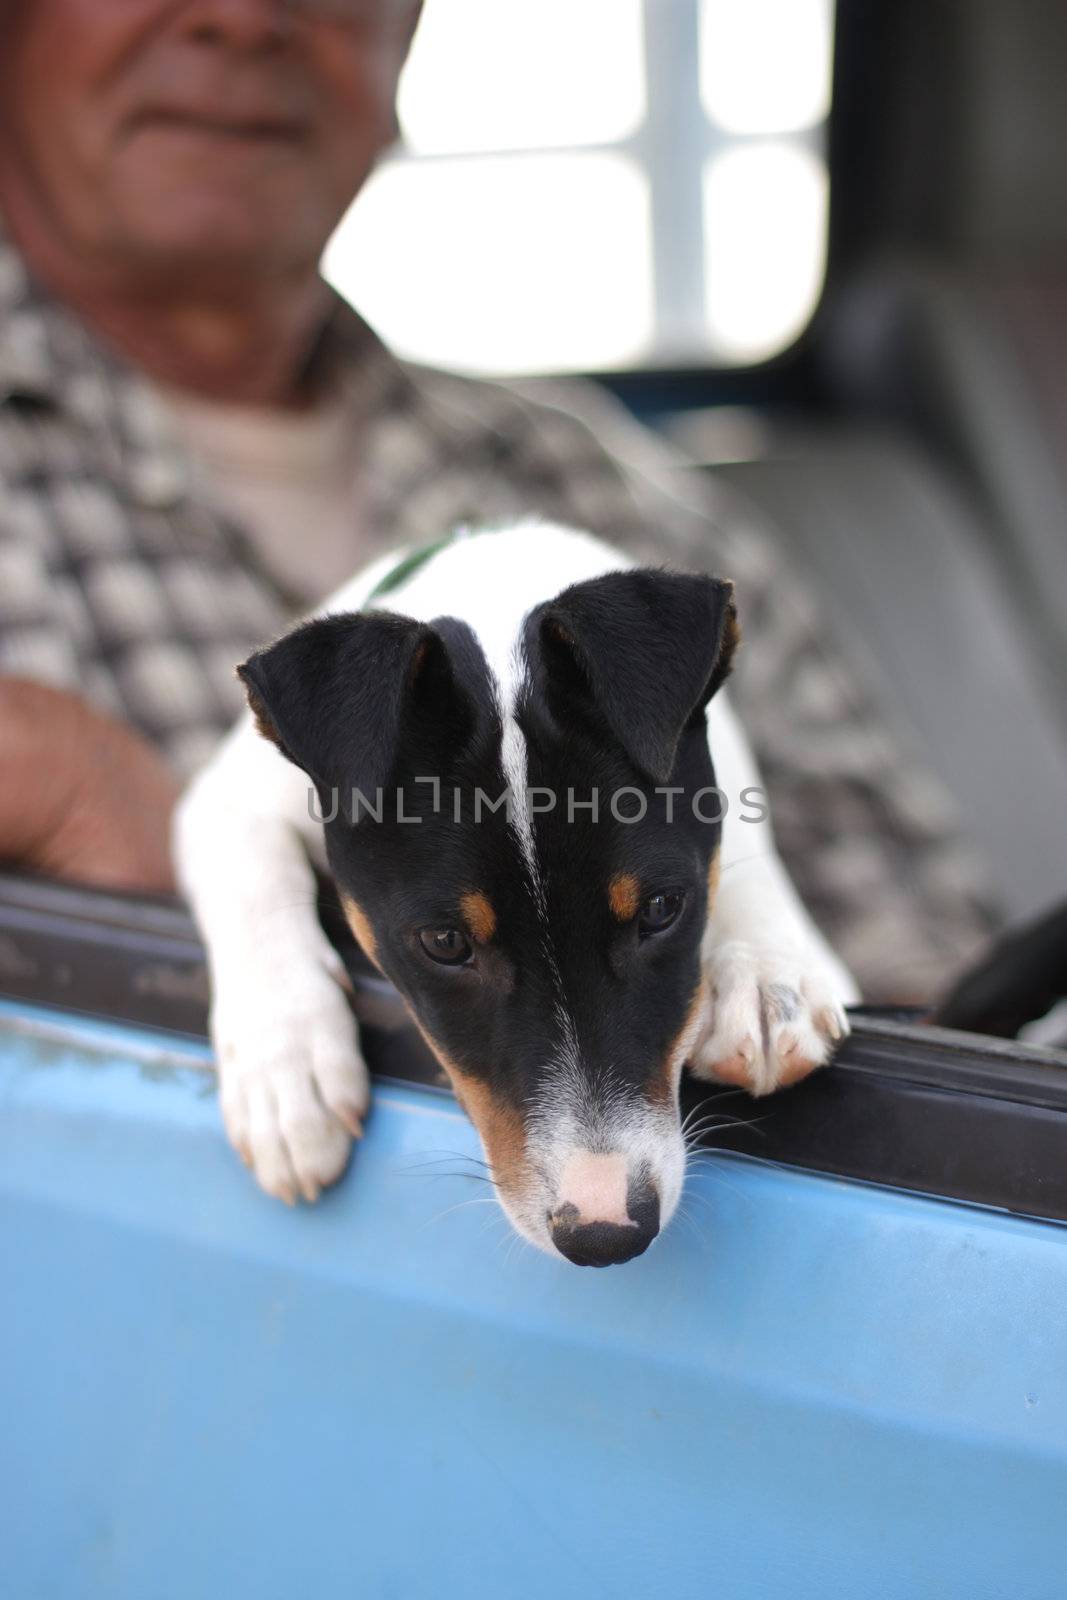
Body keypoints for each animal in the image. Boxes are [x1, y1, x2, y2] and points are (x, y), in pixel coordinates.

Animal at [175, 521, 857, 1260]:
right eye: (444, 942)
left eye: (660, 909)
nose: (604, 1237)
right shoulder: (224, 798)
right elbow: (252, 875)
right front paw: (286, 1073)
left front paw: (763, 976)